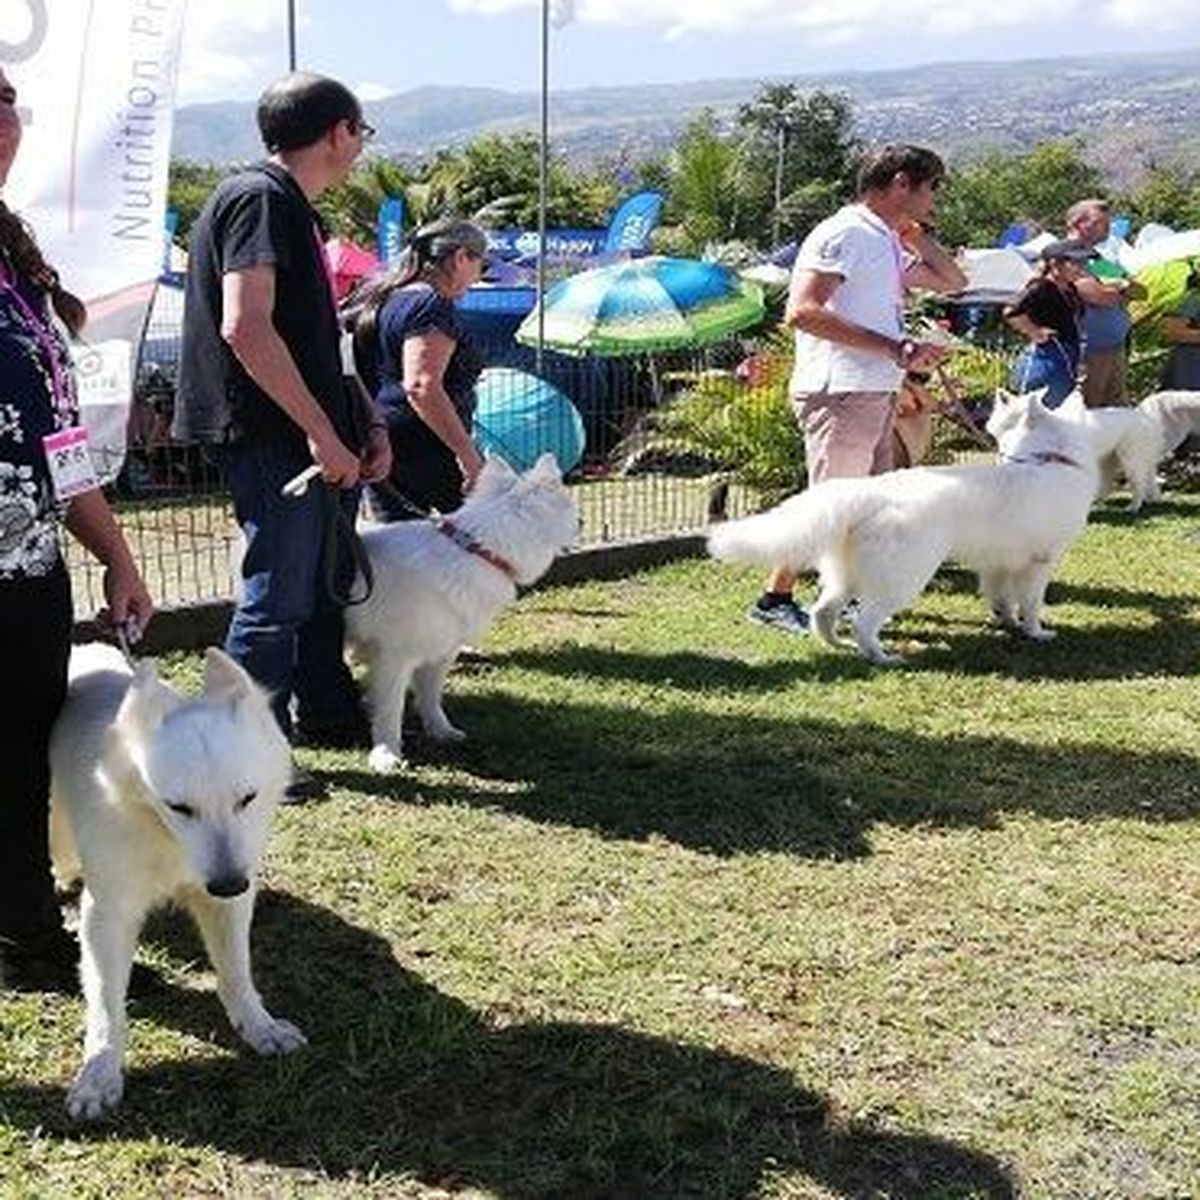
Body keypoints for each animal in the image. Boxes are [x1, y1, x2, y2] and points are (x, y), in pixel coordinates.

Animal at [49, 643, 304, 1118]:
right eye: (179, 807)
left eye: (247, 799)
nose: (228, 885)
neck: (164, 833)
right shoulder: (108, 915)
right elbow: (107, 1002)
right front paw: (100, 1072)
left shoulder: (230, 900)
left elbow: (236, 971)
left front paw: (259, 1026)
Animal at [345, 453, 578, 772]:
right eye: (572, 511)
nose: (583, 522)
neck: (479, 550)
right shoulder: (393, 658)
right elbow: (390, 709)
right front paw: (386, 753)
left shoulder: (442, 651)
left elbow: (431, 697)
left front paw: (441, 730)